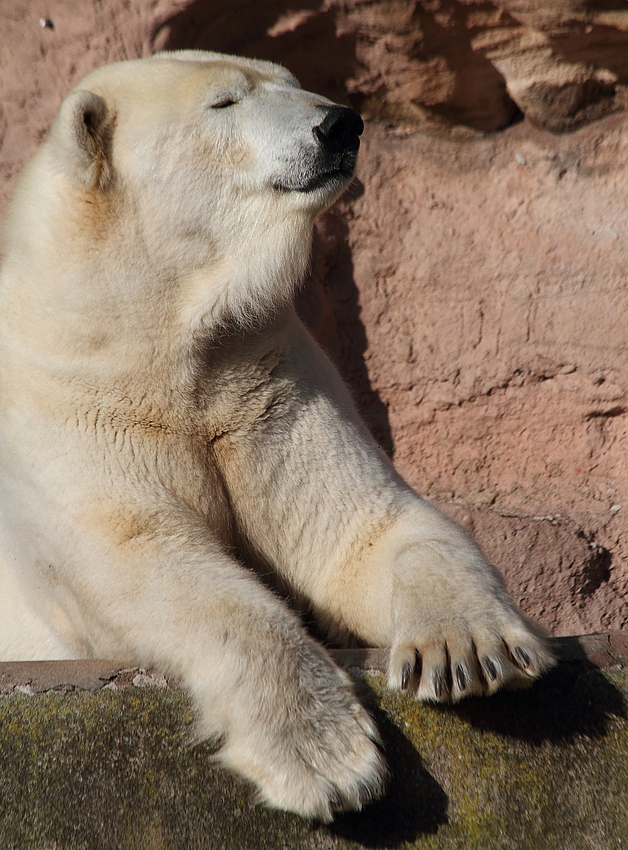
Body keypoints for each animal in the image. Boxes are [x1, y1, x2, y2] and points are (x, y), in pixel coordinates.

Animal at [0, 53, 556, 820]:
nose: (340, 124)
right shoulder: (71, 396)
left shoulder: (265, 376)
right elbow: (142, 556)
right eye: (224, 102)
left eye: (290, 82)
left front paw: (467, 652)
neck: (144, 322)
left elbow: (359, 528)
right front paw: (328, 761)